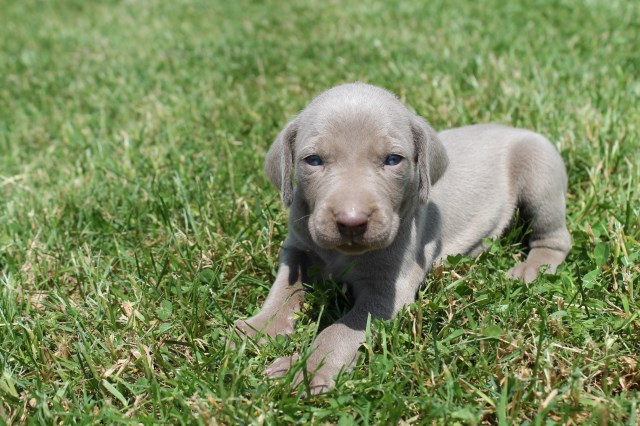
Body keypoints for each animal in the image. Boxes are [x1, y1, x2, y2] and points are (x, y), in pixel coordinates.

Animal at [234, 81, 568, 394]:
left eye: (393, 159)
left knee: (555, 238)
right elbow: (284, 288)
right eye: (313, 160)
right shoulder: (298, 249)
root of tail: (514, 128)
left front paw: (307, 368)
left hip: (540, 174)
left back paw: (530, 269)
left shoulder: (389, 290)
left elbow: (340, 330)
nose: (351, 222)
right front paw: (259, 327)